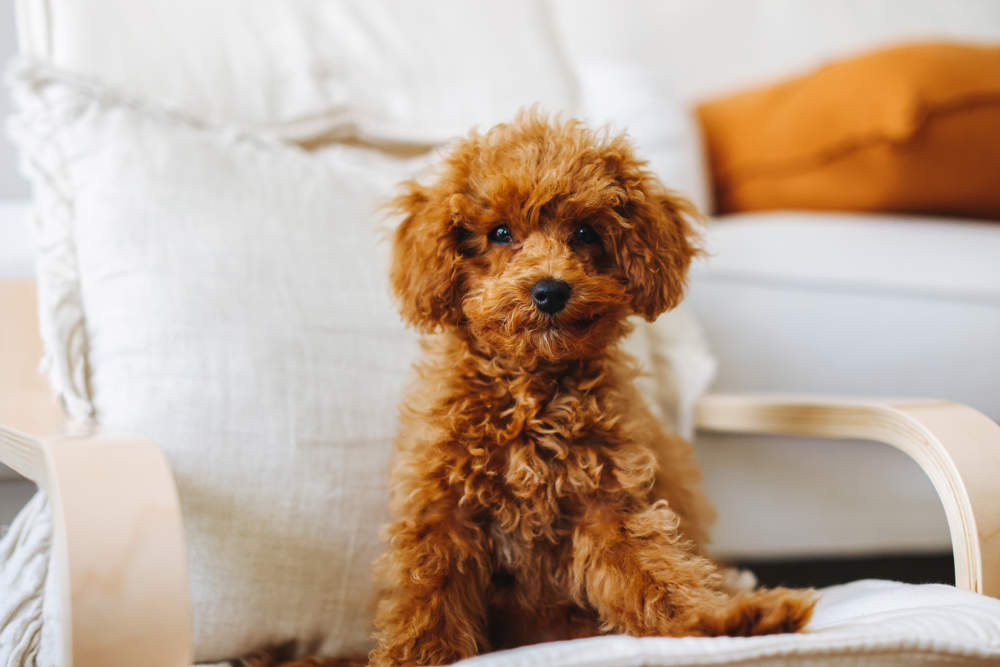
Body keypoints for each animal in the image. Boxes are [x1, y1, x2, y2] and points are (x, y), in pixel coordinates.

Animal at [256, 115, 812, 667]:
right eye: (500, 233)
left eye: (585, 232)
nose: (549, 291)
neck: (530, 388)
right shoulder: (442, 510)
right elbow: (424, 601)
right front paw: (410, 656)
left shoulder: (609, 501)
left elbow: (655, 574)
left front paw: (722, 621)